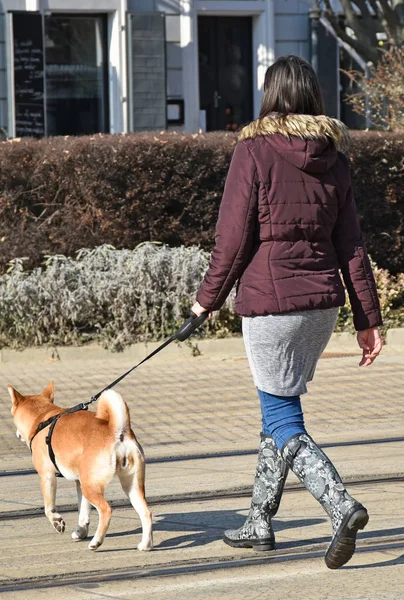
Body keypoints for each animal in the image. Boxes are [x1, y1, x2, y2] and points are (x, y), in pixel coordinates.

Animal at [7, 382, 153, 552]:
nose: (17, 434)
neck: (42, 418)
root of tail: (117, 431)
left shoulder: (47, 477)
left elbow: (49, 508)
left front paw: (57, 522)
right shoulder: (79, 483)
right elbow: (83, 513)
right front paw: (80, 532)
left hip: (91, 487)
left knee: (106, 510)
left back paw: (96, 542)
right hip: (130, 486)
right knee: (146, 513)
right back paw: (145, 545)